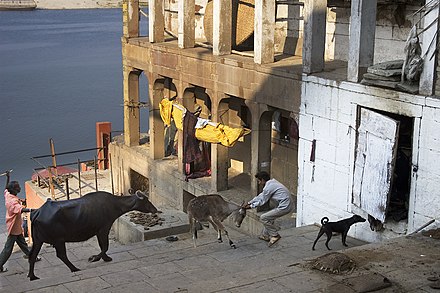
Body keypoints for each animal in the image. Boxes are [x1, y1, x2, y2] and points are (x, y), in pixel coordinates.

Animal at [27, 190, 158, 280]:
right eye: (146, 200)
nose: (155, 209)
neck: (114, 204)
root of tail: (37, 212)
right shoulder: (103, 229)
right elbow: (105, 246)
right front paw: (94, 258)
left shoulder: (100, 231)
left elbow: (102, 246)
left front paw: (105, 258)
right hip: (59, 240)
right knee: (61, 255)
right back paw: (74, 268)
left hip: (38, 240)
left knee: (32, 255)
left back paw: (32, 276)